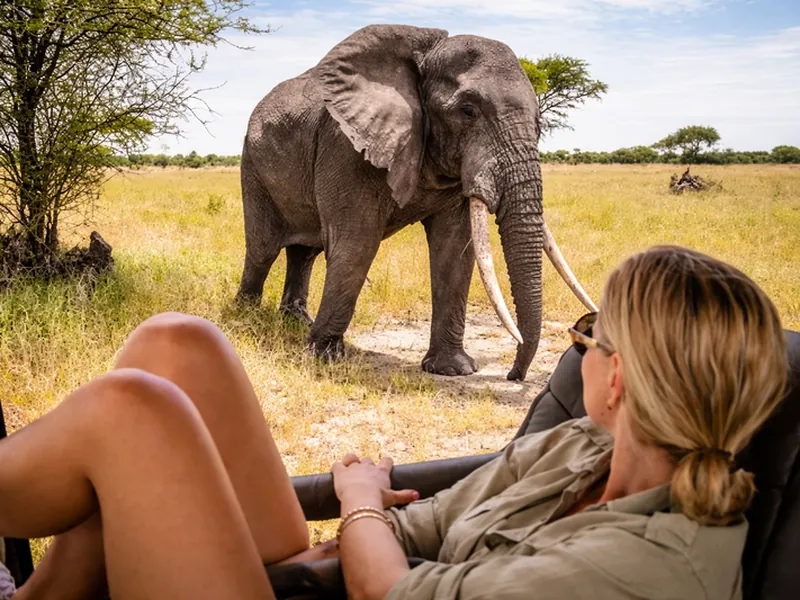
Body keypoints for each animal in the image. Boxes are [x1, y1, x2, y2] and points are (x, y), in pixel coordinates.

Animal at [236, 24, 595, 381]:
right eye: (468, 111)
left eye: (539, 120)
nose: (513, 375)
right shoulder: (345, 145)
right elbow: (356, 243)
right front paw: (324, 358)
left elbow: (454, 250)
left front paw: (452, 369)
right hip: (252, 163)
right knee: (263, 249)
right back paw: (246, 316)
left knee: (305, 252)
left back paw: (295, 321)